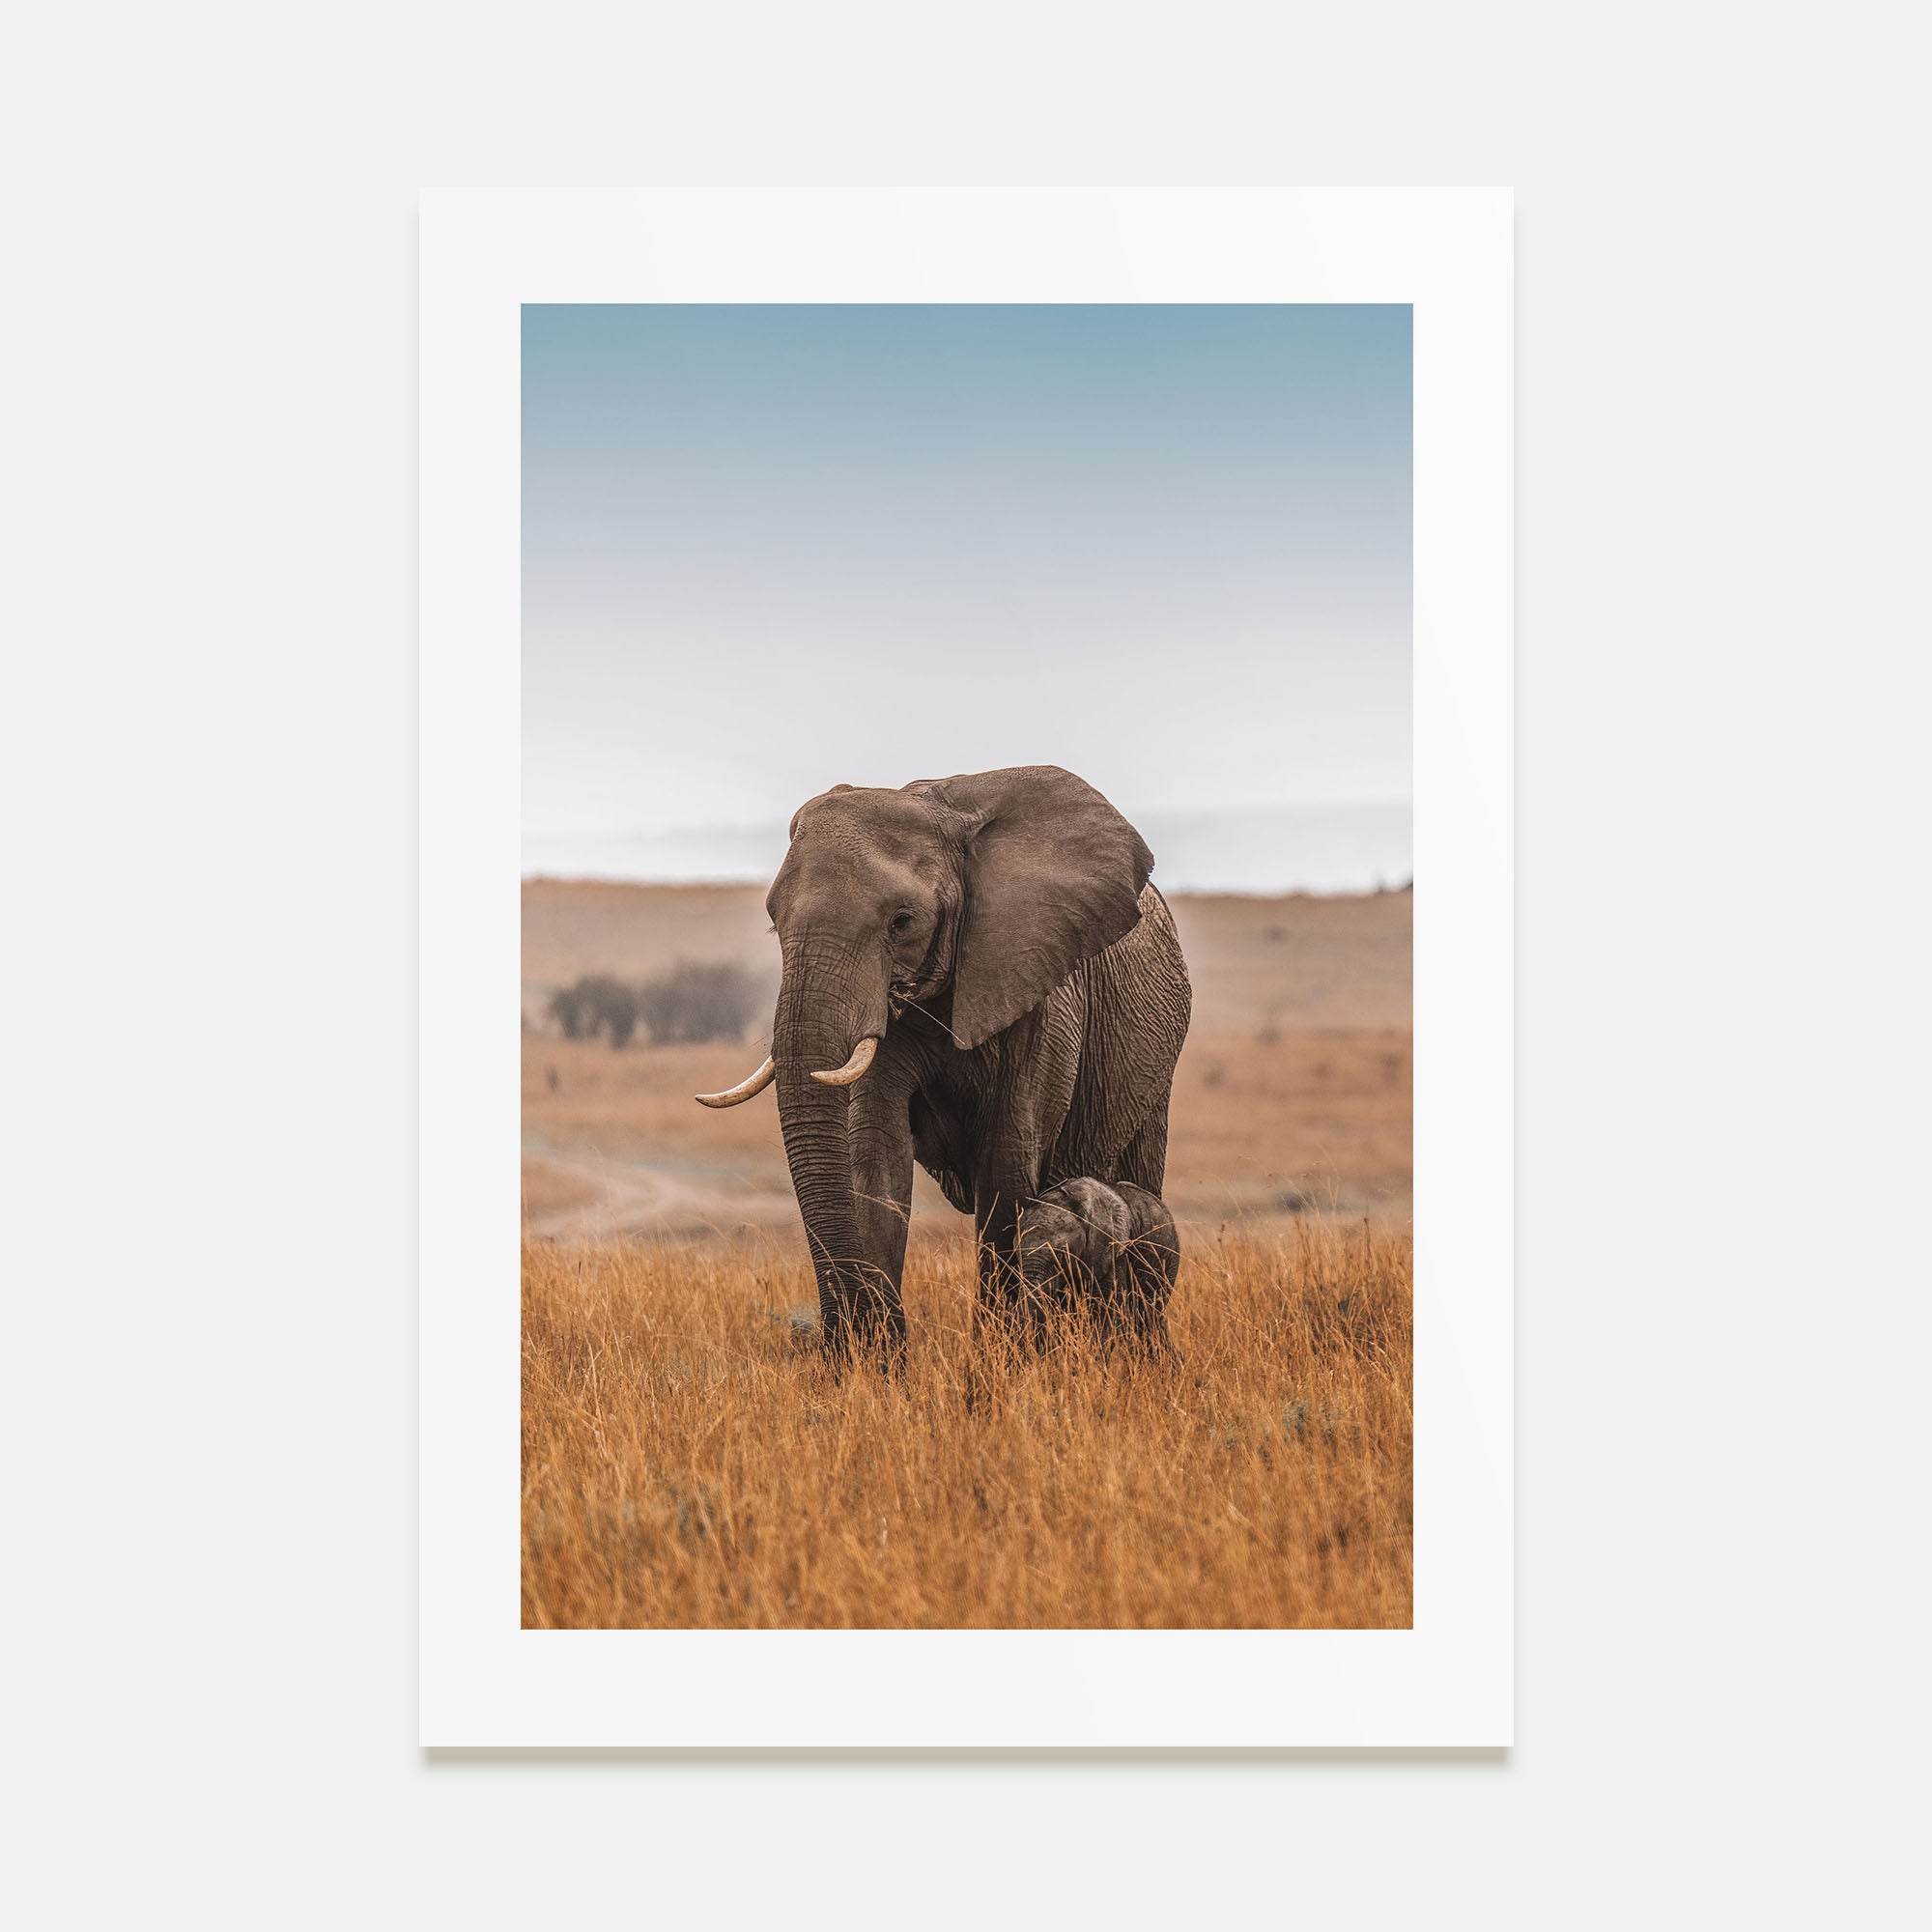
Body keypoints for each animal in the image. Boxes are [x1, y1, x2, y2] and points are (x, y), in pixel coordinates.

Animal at [1012, 1177, 1181, 1352]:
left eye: (1061, 1254)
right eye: (1016, 1253)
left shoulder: (1114, 1251)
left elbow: (1107, 1311)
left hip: (1166, 1257)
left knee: (1150, 1314)